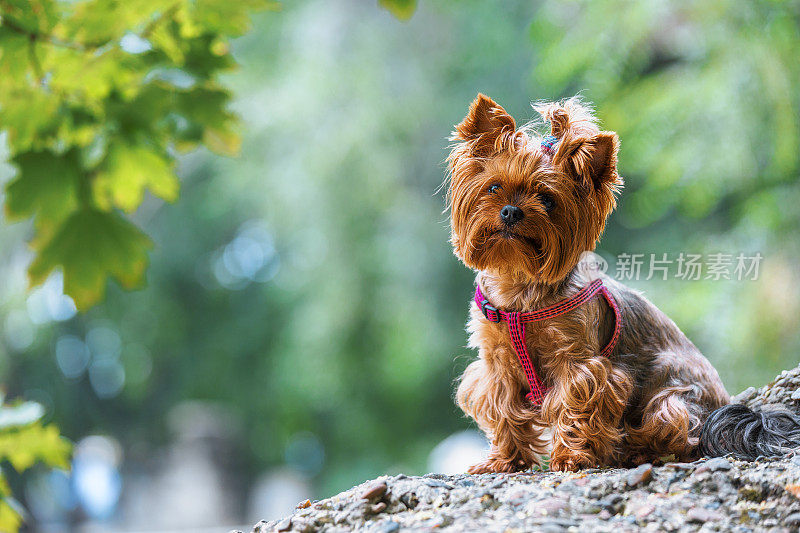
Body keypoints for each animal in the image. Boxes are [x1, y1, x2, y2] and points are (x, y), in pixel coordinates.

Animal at [446, 93, 800, 472]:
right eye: (494, 187)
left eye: (547, 199)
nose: (511, 211)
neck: (520, 289)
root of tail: (726, 404)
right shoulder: (497, 363)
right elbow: (503, 408)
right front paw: (504, 460)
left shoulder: (579, 363)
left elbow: (574, 405)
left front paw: (571, 457)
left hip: (670, 398)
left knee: (679, 435)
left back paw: (639, 452)